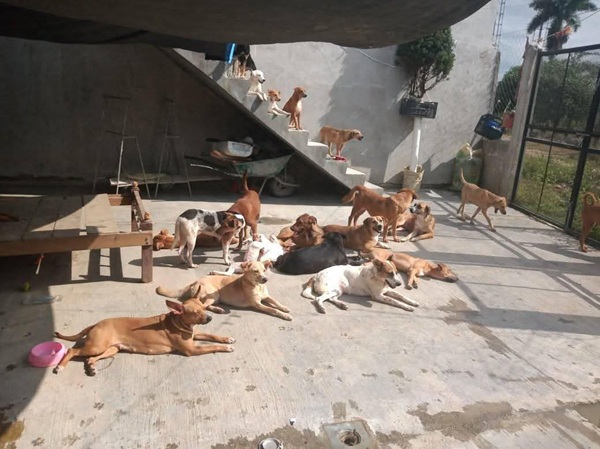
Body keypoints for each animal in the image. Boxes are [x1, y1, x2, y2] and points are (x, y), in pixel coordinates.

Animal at [53, 299, 234, 376]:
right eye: (195, 313)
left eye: (204, 308)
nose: (210, 318)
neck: (178, 321)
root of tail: (95, 324)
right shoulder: (191, 349)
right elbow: (211, 346)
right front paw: (226, 347)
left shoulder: (195, 335)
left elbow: (212, 335)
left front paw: (227, 339)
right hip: (96, 346)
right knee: (71, 351)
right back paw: (60, 366)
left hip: (112, 349)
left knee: (89, 359)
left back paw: (91, 367)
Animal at [156, 261, 292, 321]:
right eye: (255, 271)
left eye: (264, 270)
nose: (265, 279)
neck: (257, 286)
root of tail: (194, 282)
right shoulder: (257, 304)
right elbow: (273, 309)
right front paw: (285, 315)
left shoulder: (266, 297)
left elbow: (276, 302)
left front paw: (285, 308)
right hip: (215, 294)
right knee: (203, 306)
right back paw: (217, 309)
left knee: (205, 305)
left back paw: (218, 309)